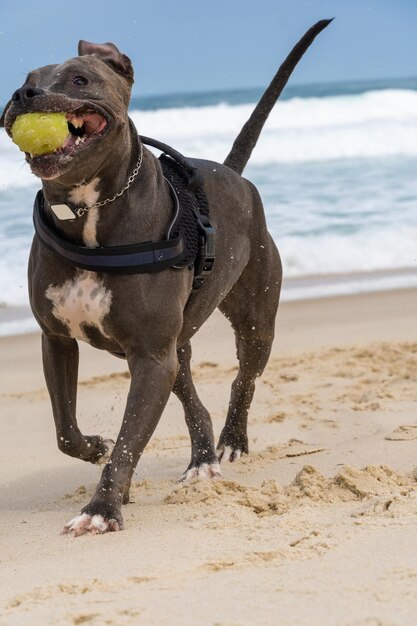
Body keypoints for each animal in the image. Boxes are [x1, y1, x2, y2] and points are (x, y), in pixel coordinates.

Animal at [0, 20, 332, 536]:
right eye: (27, 78)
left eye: (79, 79)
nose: (25, 94)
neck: (89, 209)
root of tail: (233, 175)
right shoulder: (57, 339)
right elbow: (67, 431)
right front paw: (95, 449)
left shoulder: (151, 356)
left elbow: (128, 441)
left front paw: (101, 510)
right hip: (175, 345)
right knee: (191, 396)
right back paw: (201, 458)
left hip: (255, 319)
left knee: (244, 378)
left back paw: (231, 441)